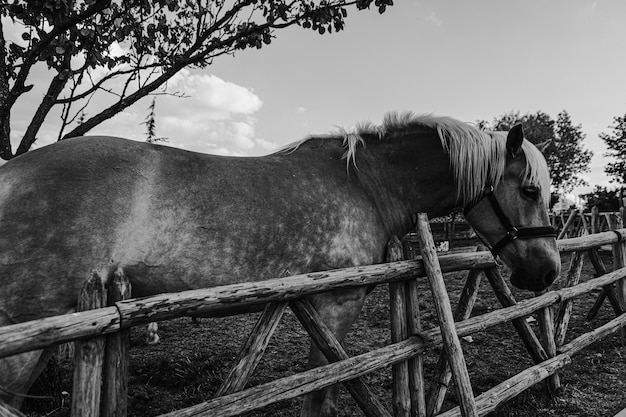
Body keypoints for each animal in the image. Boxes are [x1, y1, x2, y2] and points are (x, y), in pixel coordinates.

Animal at [0, 112, 560, 414]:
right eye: (531, 190)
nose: (548, 271)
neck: (367, 184)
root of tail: (10, 173)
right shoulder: (333, 306)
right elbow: (322, 394)